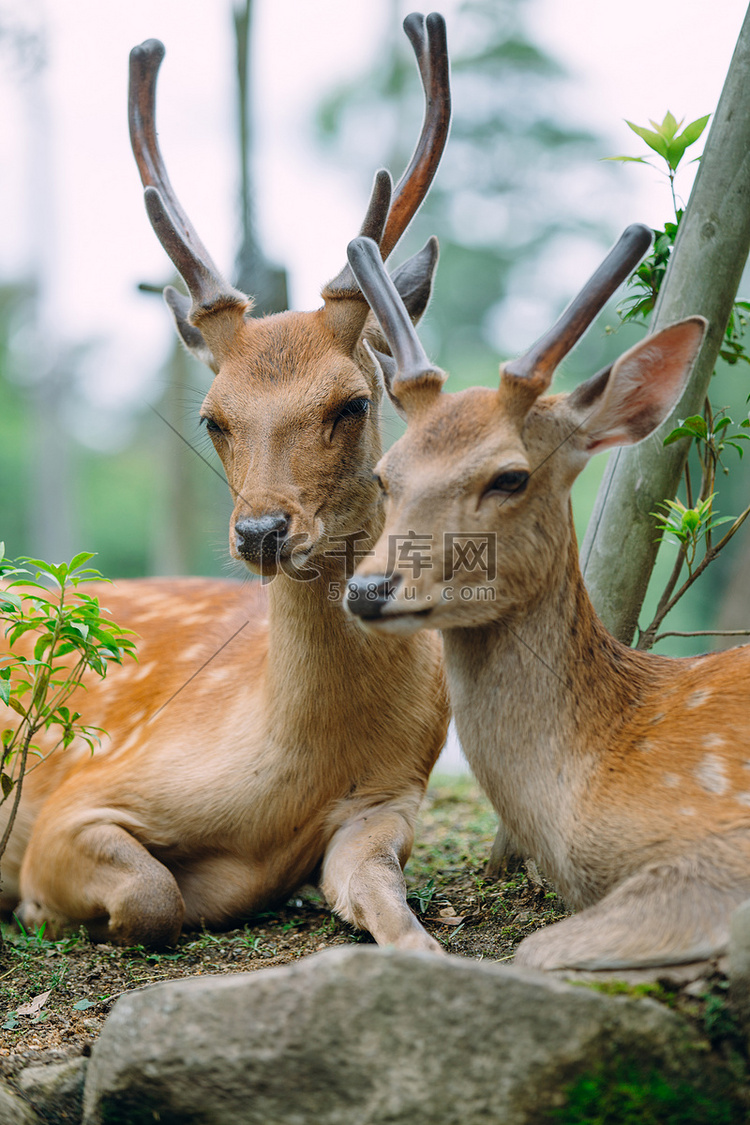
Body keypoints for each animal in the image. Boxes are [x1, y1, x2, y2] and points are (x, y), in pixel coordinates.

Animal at [0, 13, 452, 954]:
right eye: (213, 416)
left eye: (352, 401)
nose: (263, 533)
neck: (296, 773)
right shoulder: (77, 798)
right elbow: (153, 894)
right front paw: (40, 905)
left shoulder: (389, 803)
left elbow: (393, 908)